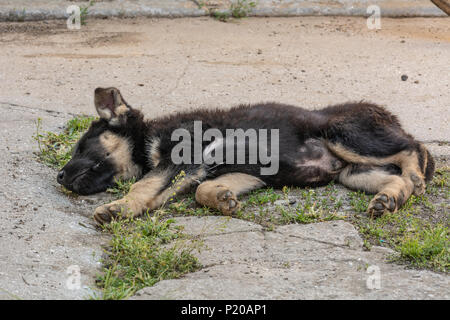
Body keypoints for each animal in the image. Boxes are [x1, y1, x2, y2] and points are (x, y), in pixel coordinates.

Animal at [55, 86, 432, 224]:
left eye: (82, 146)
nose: (58, 176)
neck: (148, 136)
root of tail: (388, 115)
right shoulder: (240, 172)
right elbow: (202, 189)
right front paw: (223, 199)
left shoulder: (183, 157)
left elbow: (145, 185)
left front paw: (117, 208)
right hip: (352, 172)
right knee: (395, 175)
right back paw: (388, 200)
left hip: (345, 135)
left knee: (414, 147)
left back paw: (415, 176)